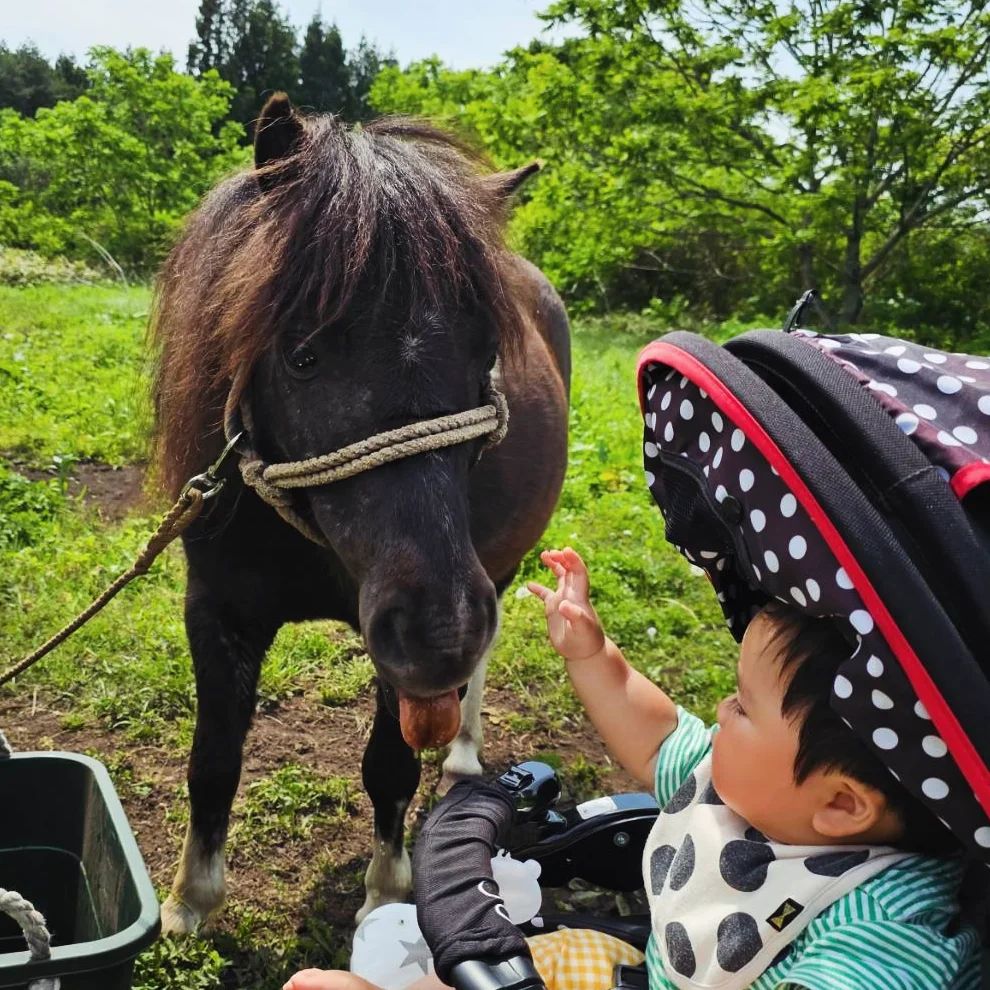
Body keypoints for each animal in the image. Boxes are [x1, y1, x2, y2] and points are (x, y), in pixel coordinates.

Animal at [149, 93, 570, 933]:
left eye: (486, 353)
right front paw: (187, 901)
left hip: (494, 573)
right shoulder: (216, 607)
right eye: (302, 354)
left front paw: (386, 892)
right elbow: (213, 759)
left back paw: (464, 750)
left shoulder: (405, 634)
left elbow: (389, 766)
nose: (443, 634)